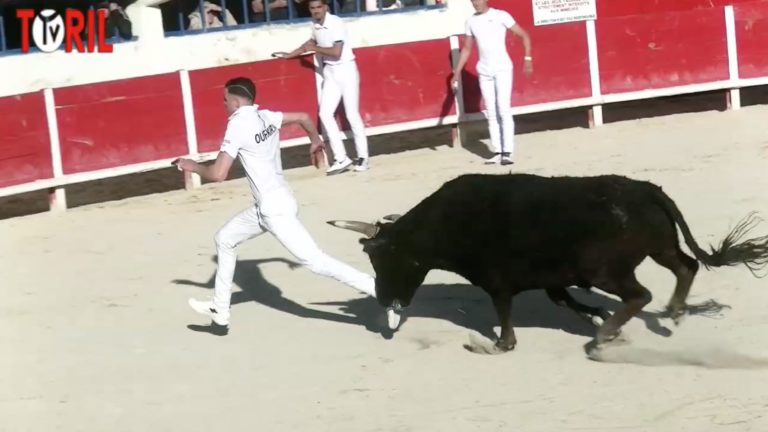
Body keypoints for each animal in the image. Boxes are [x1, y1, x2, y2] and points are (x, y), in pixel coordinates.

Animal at [328, 174, 768, 352]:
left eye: (381, 258)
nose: (384, 299)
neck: (443, 223)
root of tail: (647, 190)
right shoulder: (552, 278)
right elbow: (562, 299)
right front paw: (593, 314)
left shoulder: (497, 281)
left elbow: (504, 314)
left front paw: (500, 345)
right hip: (660, 247)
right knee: (685, 267)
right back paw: (671, 313)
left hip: (604, 270)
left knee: (640, 294)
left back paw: (605, 336)